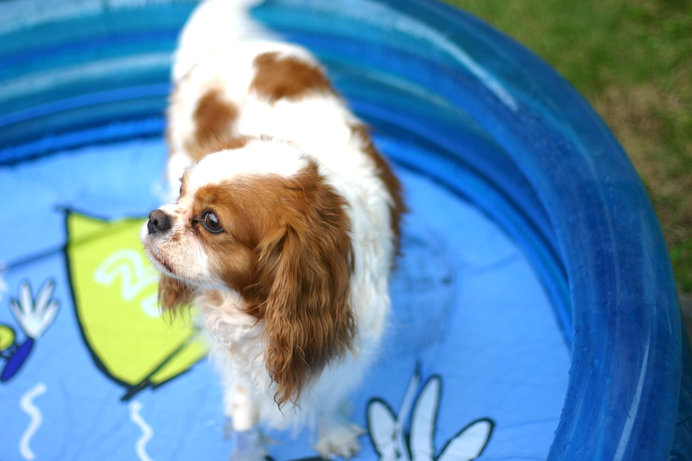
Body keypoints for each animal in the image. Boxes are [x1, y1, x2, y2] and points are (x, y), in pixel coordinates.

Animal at [139, 0, 406, 456]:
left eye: (211, 222)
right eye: (181, 190)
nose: (156, 218)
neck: (257, 311)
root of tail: (234, 46)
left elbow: (329, 400)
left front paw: (333, 434)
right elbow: (244, 403)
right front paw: (247, 439)